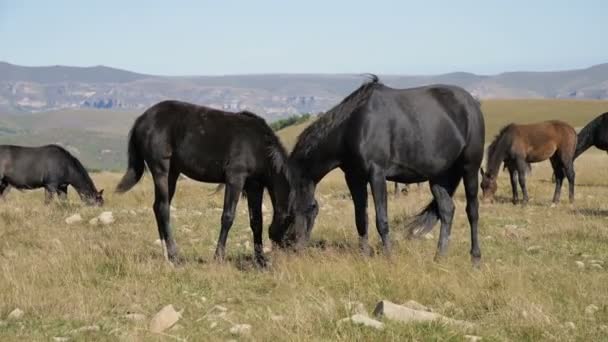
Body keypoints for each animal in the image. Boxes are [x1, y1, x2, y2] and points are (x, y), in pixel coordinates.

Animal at [116, 100, 294, 266]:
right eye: (291, 222)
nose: (291, 254)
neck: (258, 145)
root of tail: (141, 119)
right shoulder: (235, 179)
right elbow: (228, 217)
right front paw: (218, 257)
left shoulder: (254, 186)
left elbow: (256, 221)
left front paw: (260, 259)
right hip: (161, 170)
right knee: (163, 208)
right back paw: (174, 255)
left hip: (172, 173)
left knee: (157, 206)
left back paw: (166, 254)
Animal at [270, 77, 484, 264]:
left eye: (291, 212)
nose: (291, 247)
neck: (352, 127)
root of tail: (472, 103)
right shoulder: (354, 177)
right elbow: (360, 219)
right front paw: (364, 256)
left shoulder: (377, 174)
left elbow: (381, 220)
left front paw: (389, 258)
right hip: (439, 177)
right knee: (447, 210)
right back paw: (439, 257)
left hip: (470, 168)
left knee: (472, 211)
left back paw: (475, 259)